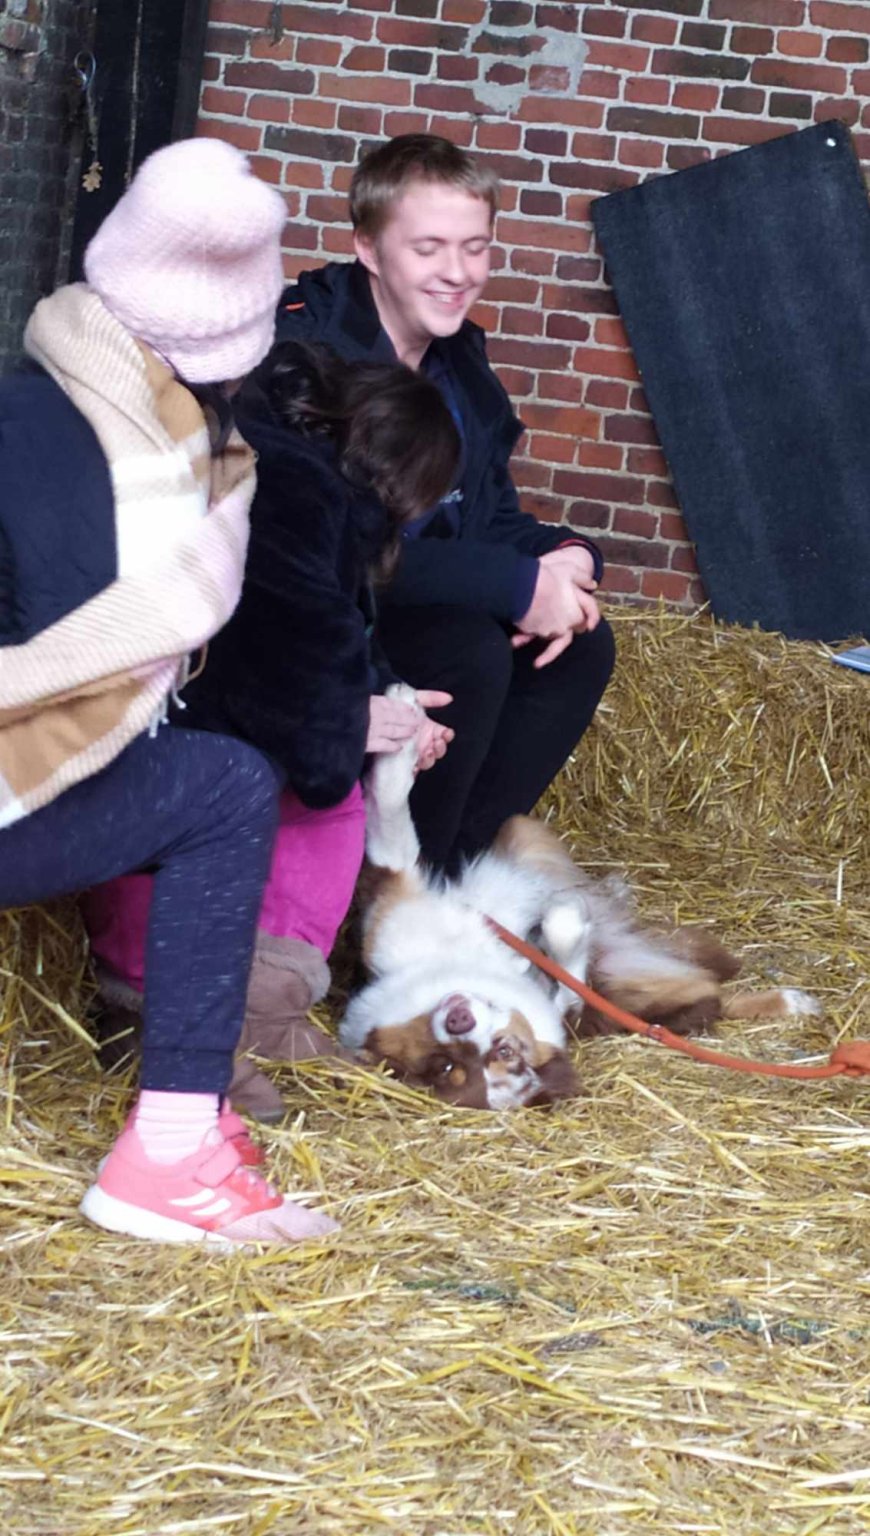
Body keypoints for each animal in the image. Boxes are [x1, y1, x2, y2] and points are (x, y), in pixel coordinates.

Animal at [342, 691, 823, 1112]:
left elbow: (390, 805)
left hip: (525, 833)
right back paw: (788, 1002)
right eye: (445, 1066)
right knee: (713, 997)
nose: (460, 1020)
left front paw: (402, 713)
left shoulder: (401, 901)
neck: (463, 964)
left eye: (505, 1051)